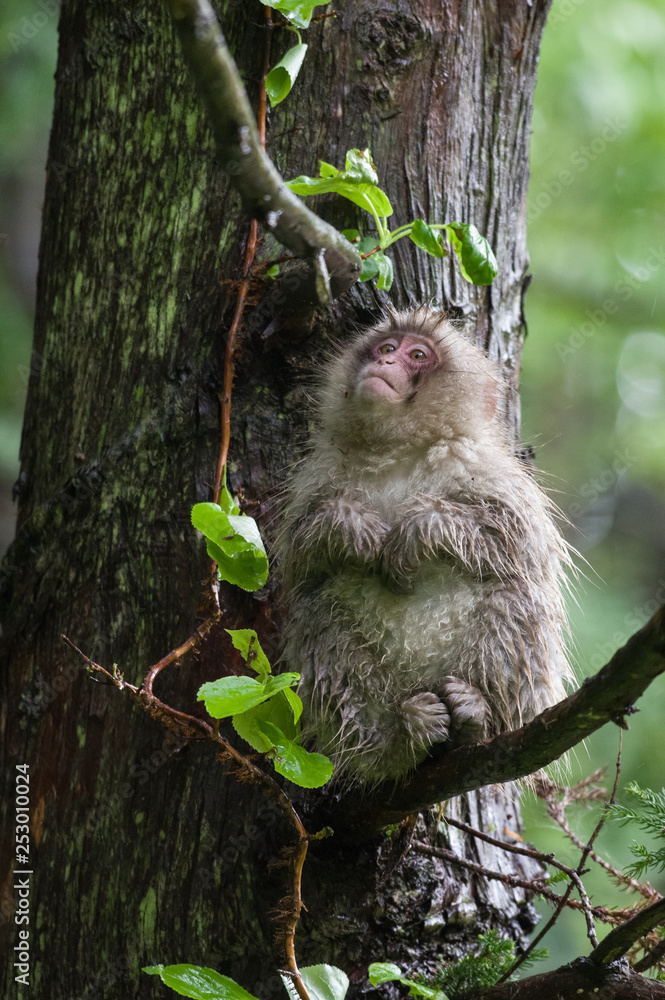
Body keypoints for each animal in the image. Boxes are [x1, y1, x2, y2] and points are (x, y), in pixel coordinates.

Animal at [278, 309, 574, 784]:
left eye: (417, 355)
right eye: (386, 347)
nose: (385, 361)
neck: (397, 449)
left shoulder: (481, 464)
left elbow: (516, 542)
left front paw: (419, 530)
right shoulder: (321, 472)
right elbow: (301, 561)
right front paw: (350, 528)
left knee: (518, 596)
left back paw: (479, 718)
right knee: (317, 612)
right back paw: (393, 742)